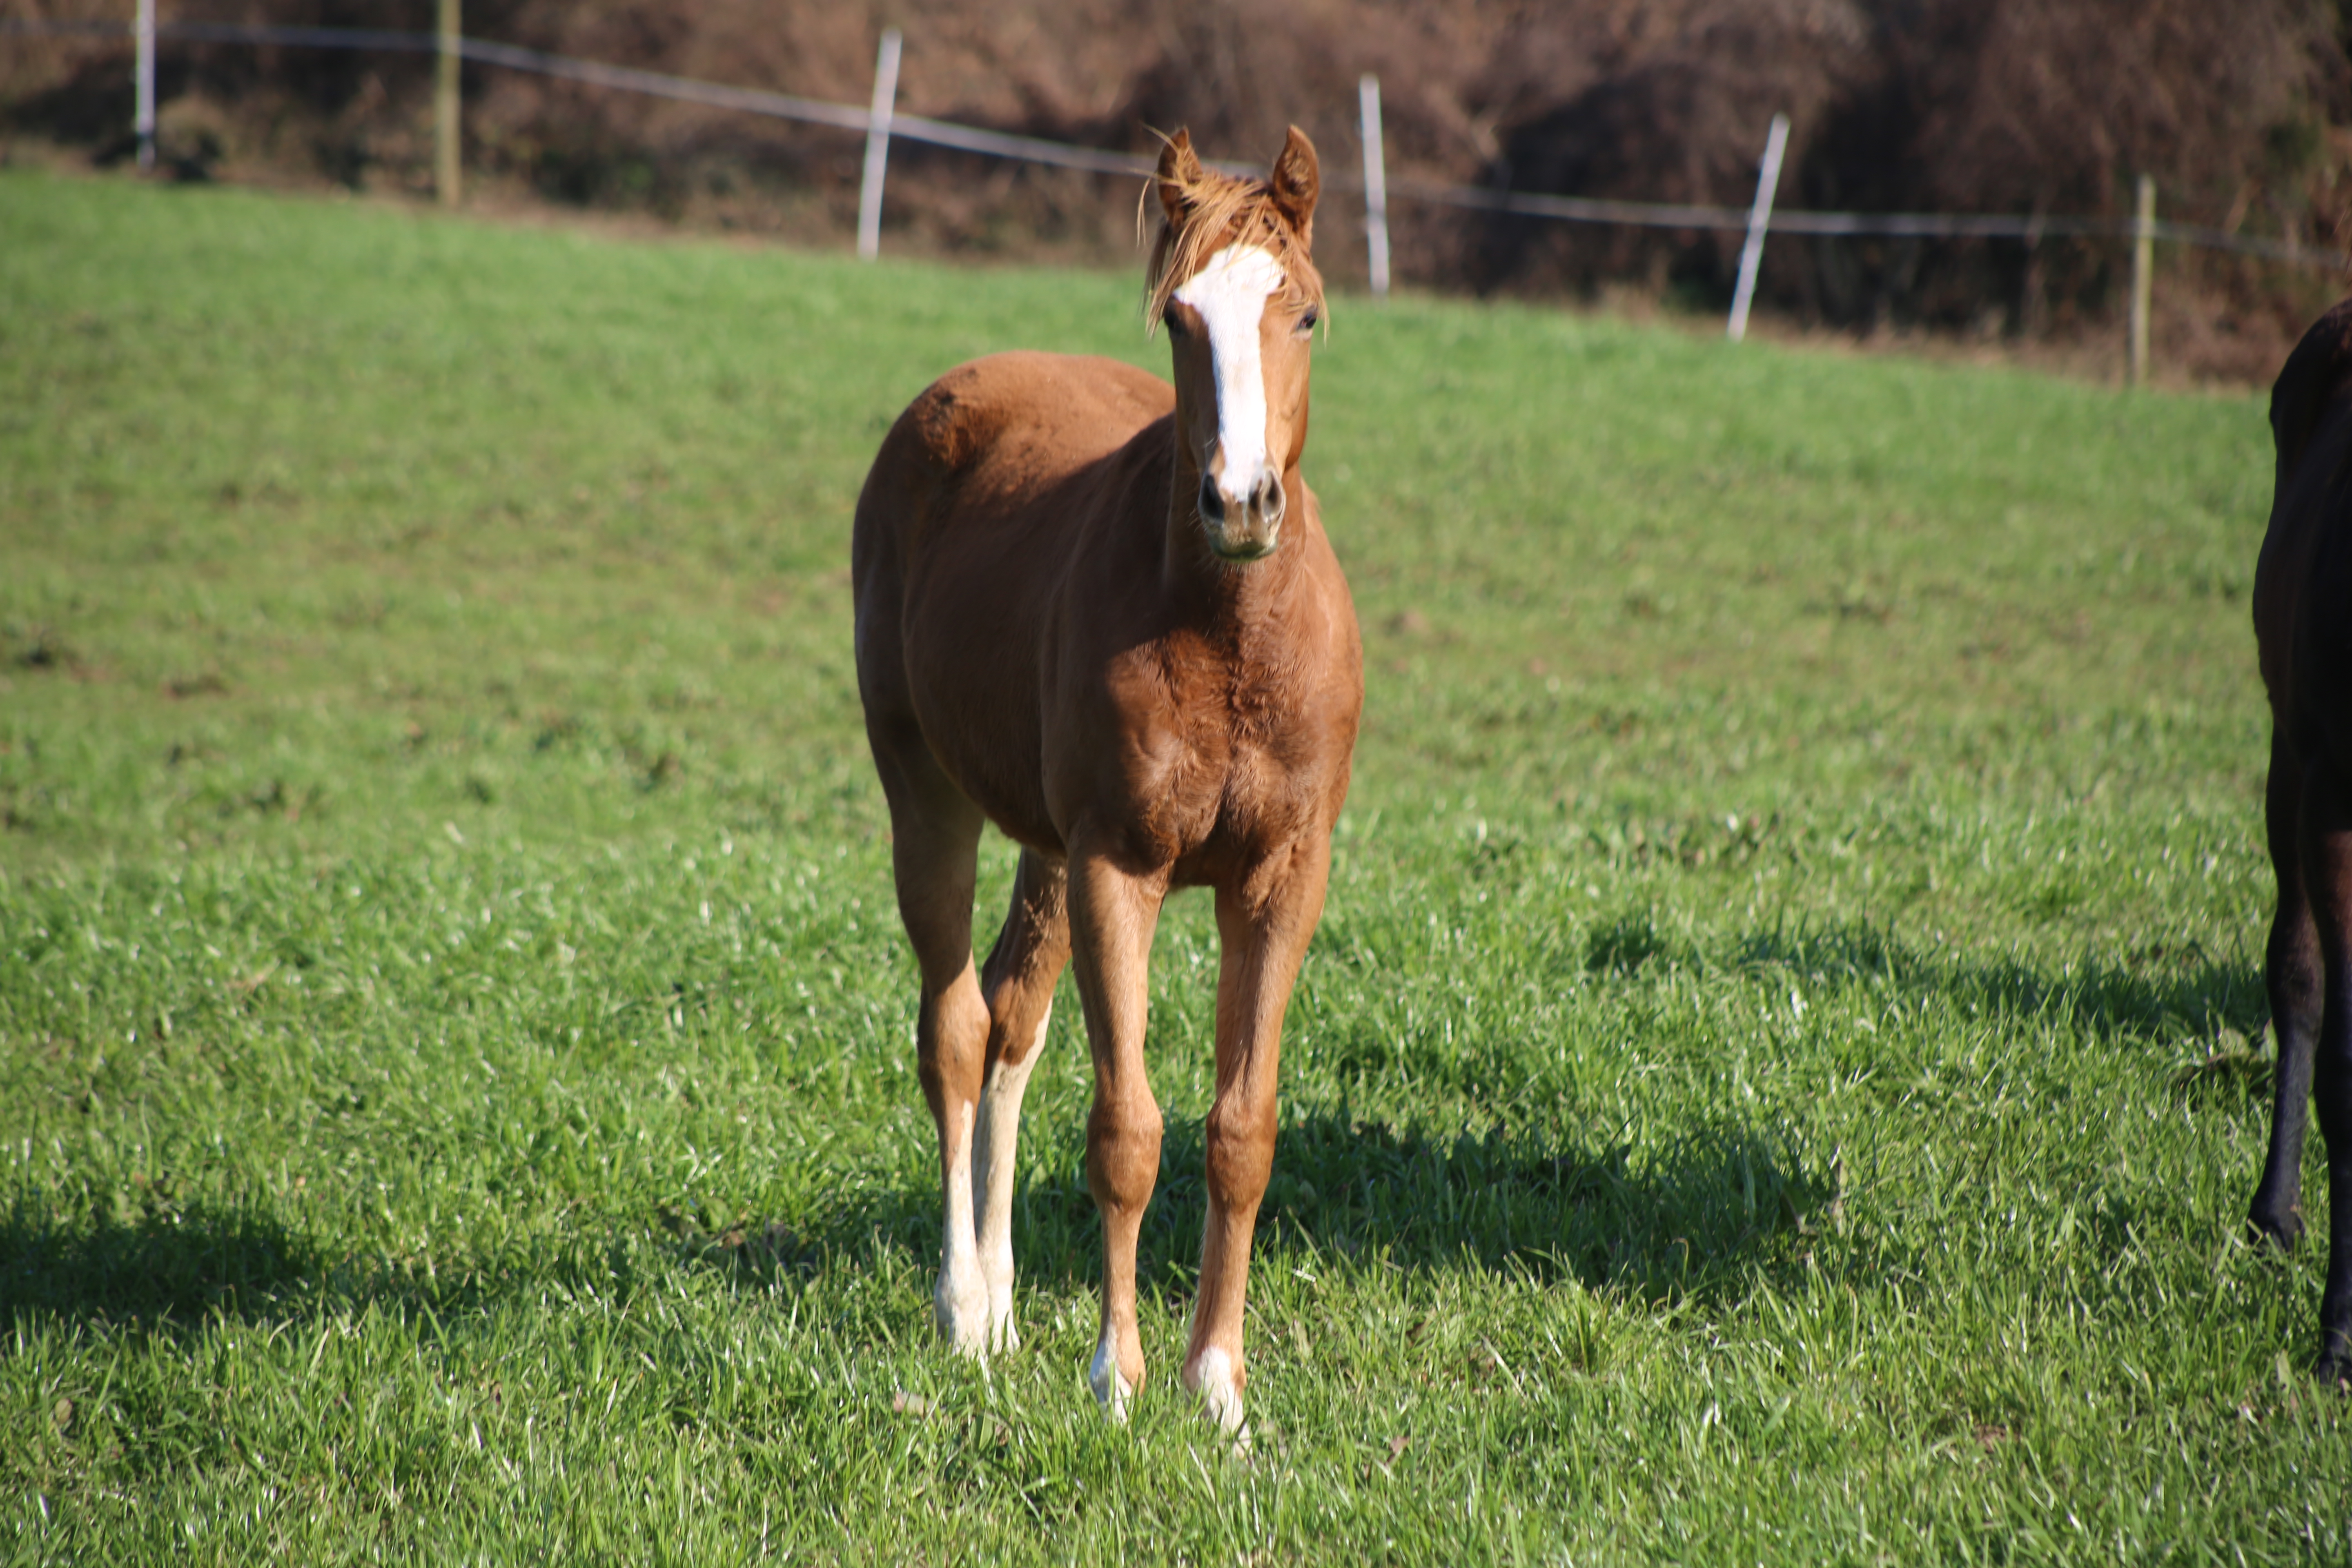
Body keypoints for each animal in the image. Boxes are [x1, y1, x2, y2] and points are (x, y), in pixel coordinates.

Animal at [851, 135, 1364, 1439]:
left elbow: (1242, 1132)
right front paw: (1118, 1378)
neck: (1227, 639)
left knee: (1010, 1018)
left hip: (1039, 845)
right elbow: (1126, 1131)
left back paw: (1003, 1300)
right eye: (1181, 317)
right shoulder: (1115, 870)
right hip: (928, 796)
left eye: (1305, 313)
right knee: (955, 1028)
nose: (1239, 500)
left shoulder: (1282, 878)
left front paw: (1218, 1383)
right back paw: (964, 1307)